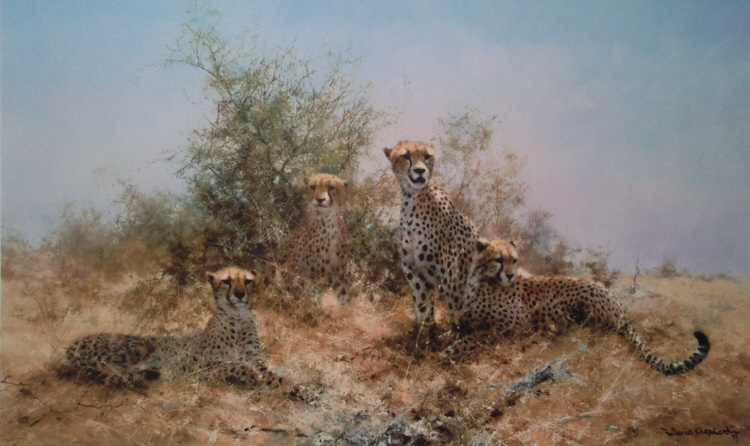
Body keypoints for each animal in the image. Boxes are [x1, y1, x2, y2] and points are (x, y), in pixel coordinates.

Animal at [61, 267, 285, 388]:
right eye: (226, 281)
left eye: (247, 281)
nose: (239, 294)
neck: (236, 318)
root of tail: (73, 344)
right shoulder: (197, 364)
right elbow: (233, 365)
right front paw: (253, 376)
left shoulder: (255, 358)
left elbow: (267, 372)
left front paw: (285, 384)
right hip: (140, 346)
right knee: (104, 369)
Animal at [276, 173, 351, 304]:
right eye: (313, 187)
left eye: (331, 187)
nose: (320, 199)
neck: (327, 219)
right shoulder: (300, 269)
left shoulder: (338, 272)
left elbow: (344, 294)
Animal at [384, 141, 479, 334]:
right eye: (406, 156)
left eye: (426, 156)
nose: (420, 171)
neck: (413, 198)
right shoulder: (417, 274)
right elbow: (423, 310)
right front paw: (425, 335)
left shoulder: (454, 277)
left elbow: (457, 316)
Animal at [447, 237, 711, 376]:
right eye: (499, 260)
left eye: (514, 260)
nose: (510, 275)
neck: (481, 280)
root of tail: (620, 307)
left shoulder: (512, 326)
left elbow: (473, 339)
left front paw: (450, 352)